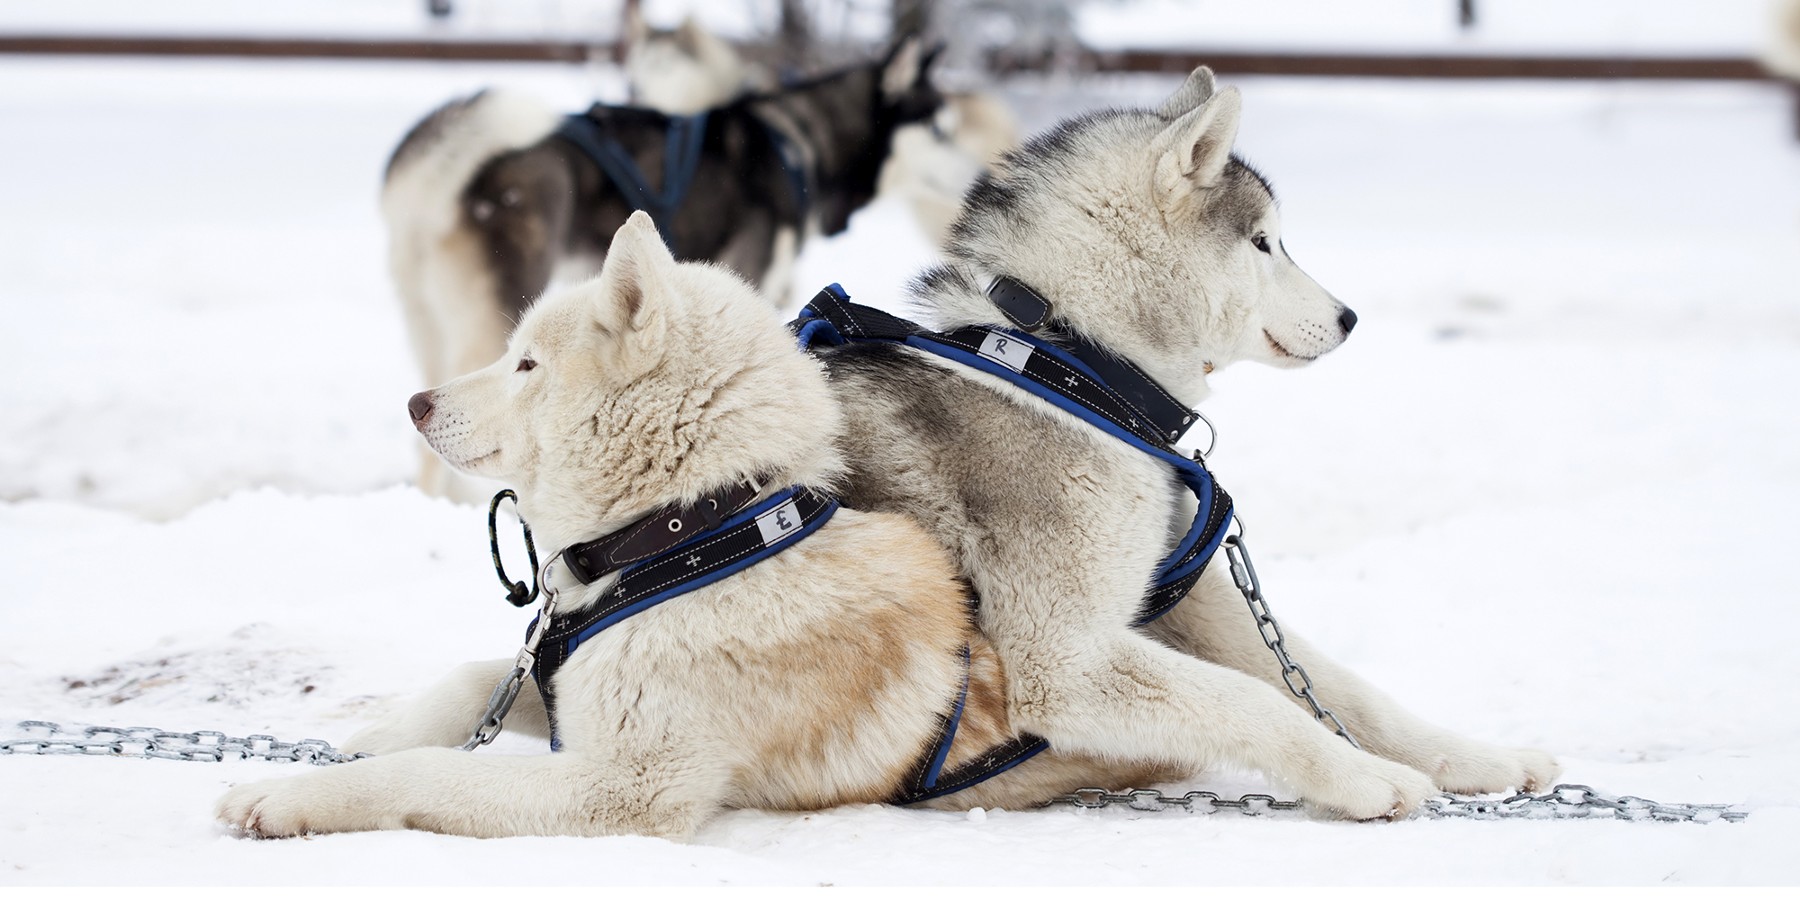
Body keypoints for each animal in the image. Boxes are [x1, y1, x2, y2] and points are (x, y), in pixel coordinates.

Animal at [214, 214, 1166, 838]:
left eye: (526, 364)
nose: (416, 402)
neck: (695, 533)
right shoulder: (573, 689)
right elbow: (462, 687)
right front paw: (364, 745)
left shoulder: (627, 787)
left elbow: (436, 771)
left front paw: (289, 800)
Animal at [817, 66, 1562, 820]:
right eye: (1263, 243)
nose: (1349, 318)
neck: (1070, 361)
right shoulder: (1067, 658)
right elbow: (1253, 700)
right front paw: (1364, 778)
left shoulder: (1189, 592)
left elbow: (1335, 685)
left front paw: (1478, 760)